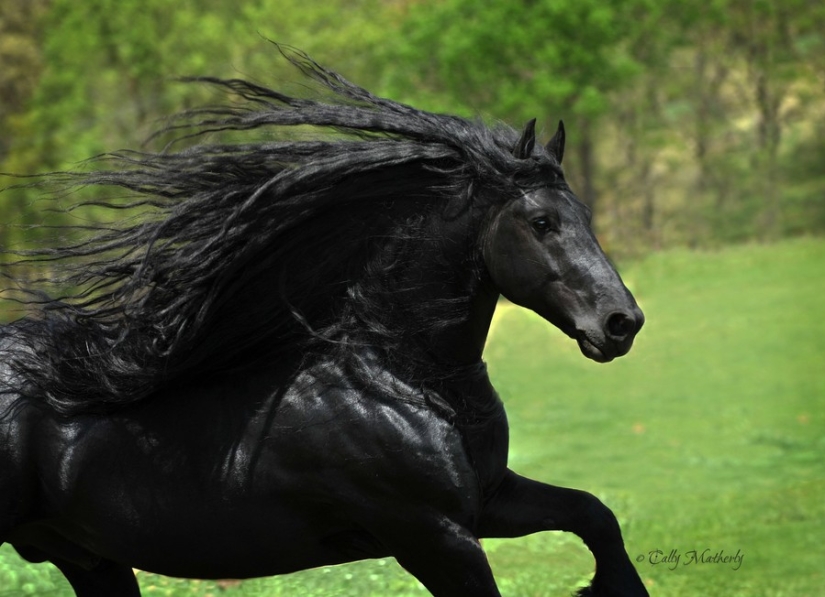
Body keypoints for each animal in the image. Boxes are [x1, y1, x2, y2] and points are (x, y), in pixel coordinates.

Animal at [0, 47, 644, 596]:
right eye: (541, 223)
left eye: (585, 214)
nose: (622, 323)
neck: (400, 380)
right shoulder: (432, 535)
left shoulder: (488, 500)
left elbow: (595, 515)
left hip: (89, 557)